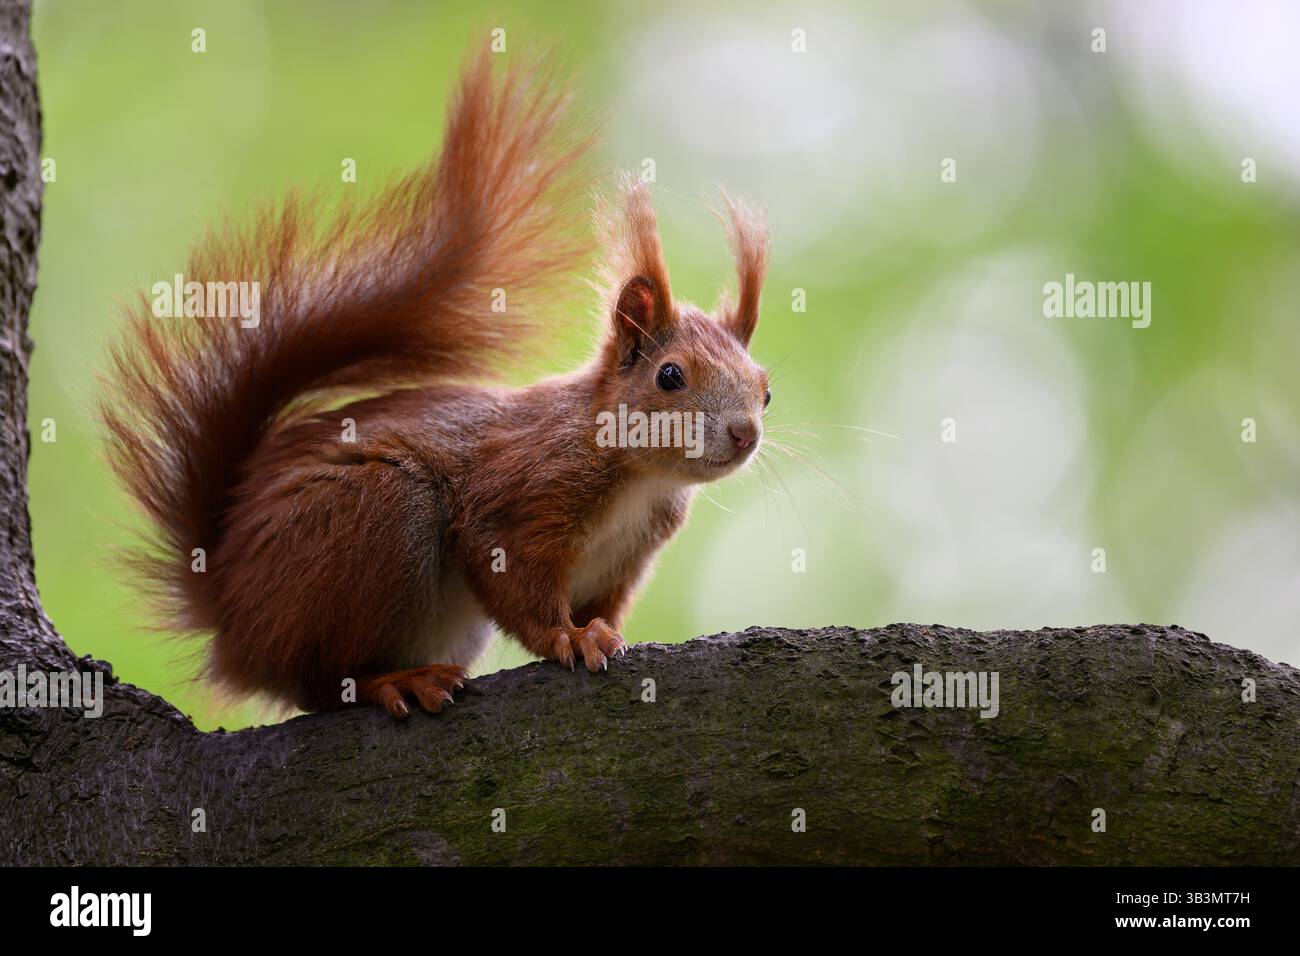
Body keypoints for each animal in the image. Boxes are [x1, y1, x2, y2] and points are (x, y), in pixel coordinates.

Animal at [101, 52, 770, 720]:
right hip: (379, 514)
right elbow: (510, 575)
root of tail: (231, 620)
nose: (745, 433)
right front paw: (569, 638)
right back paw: (394, 682)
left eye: (765, 390)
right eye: (670, 376)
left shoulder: (625, 559)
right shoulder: (523, 492)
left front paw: (601, 631)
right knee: (322, 683)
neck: (638, 474)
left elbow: (602, 606)